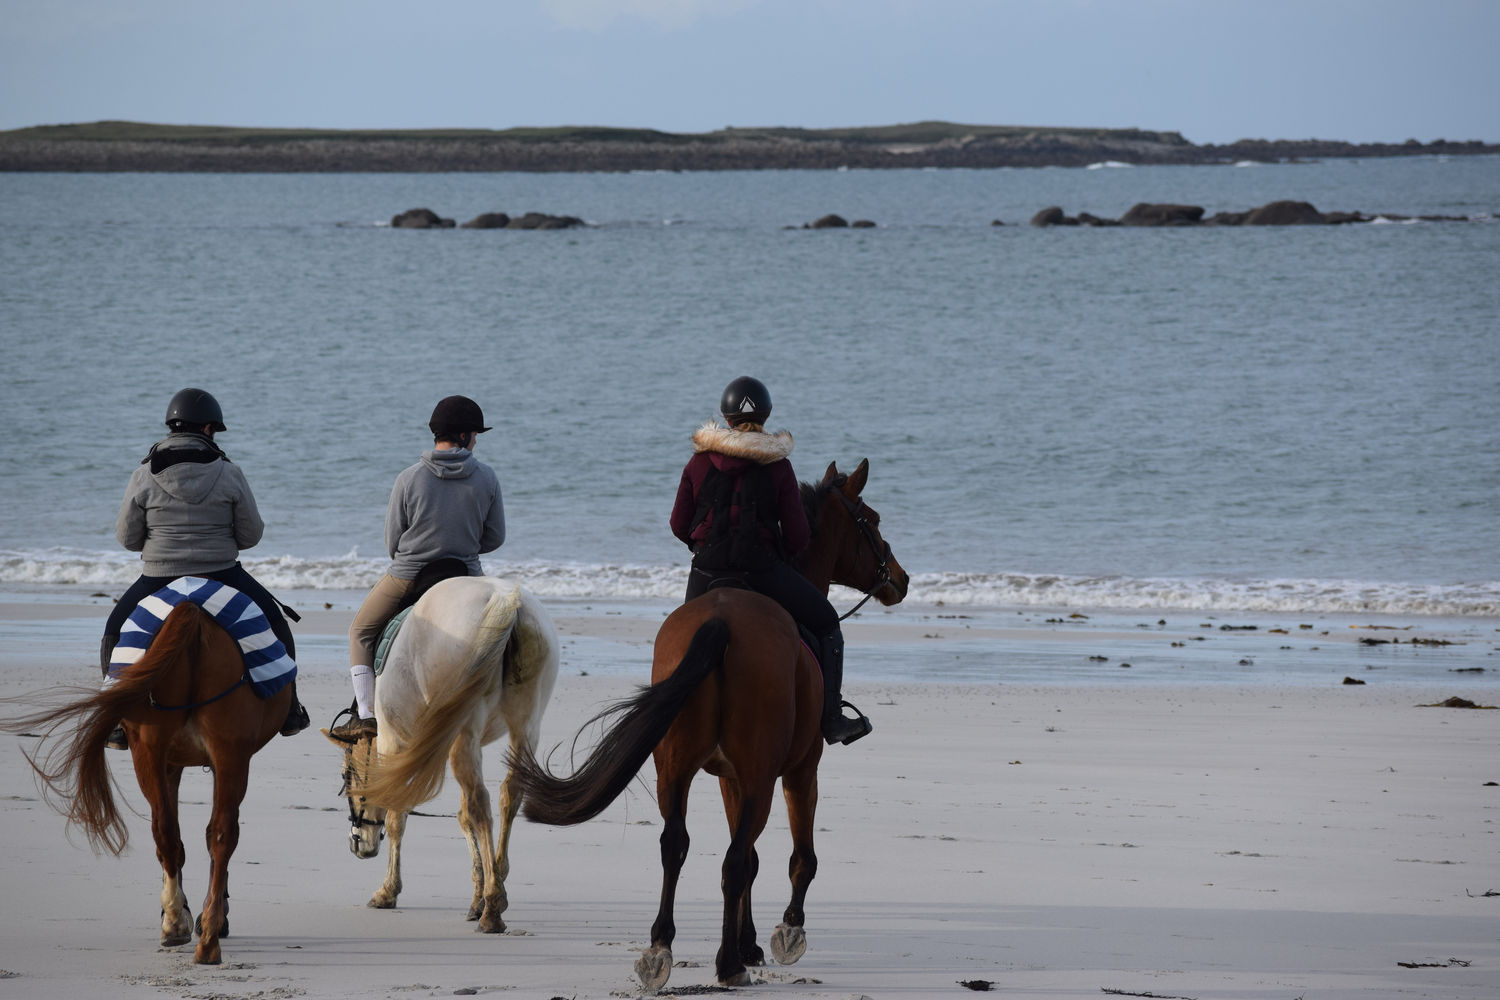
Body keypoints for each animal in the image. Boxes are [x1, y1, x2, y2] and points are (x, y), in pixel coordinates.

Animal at [0, 602, 289, 959]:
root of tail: (193, 614)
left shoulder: (176, 760)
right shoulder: (176, 762)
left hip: (176, 750)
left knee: (193, 833)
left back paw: (187, 927)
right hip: (211, 752)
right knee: (203, 832)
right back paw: (200, 930)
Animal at [322, 575, 558, 935]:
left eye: (346, 778)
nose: (358, 844)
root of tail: (504, 600)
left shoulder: (394, 743)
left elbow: (398, 816)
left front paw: (388, 891)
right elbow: (461, 817)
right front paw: (477, 894)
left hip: (464, 731)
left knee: (480, 804)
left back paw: (492, 909)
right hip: (524, 727)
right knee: (508, 794)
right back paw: (496, 886)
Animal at [510, 461, 906, 995]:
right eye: (873, 519)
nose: (900, 579)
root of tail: (721, 620)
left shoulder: (728, 778)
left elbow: (749, 858)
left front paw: (750, 941)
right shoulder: (797, 771)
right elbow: (795, 856)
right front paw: (784, 934)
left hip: (674, 772)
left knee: (676, 846)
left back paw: (660, 949)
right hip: (761, 776)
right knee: (735, 858)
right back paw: (727, 964)